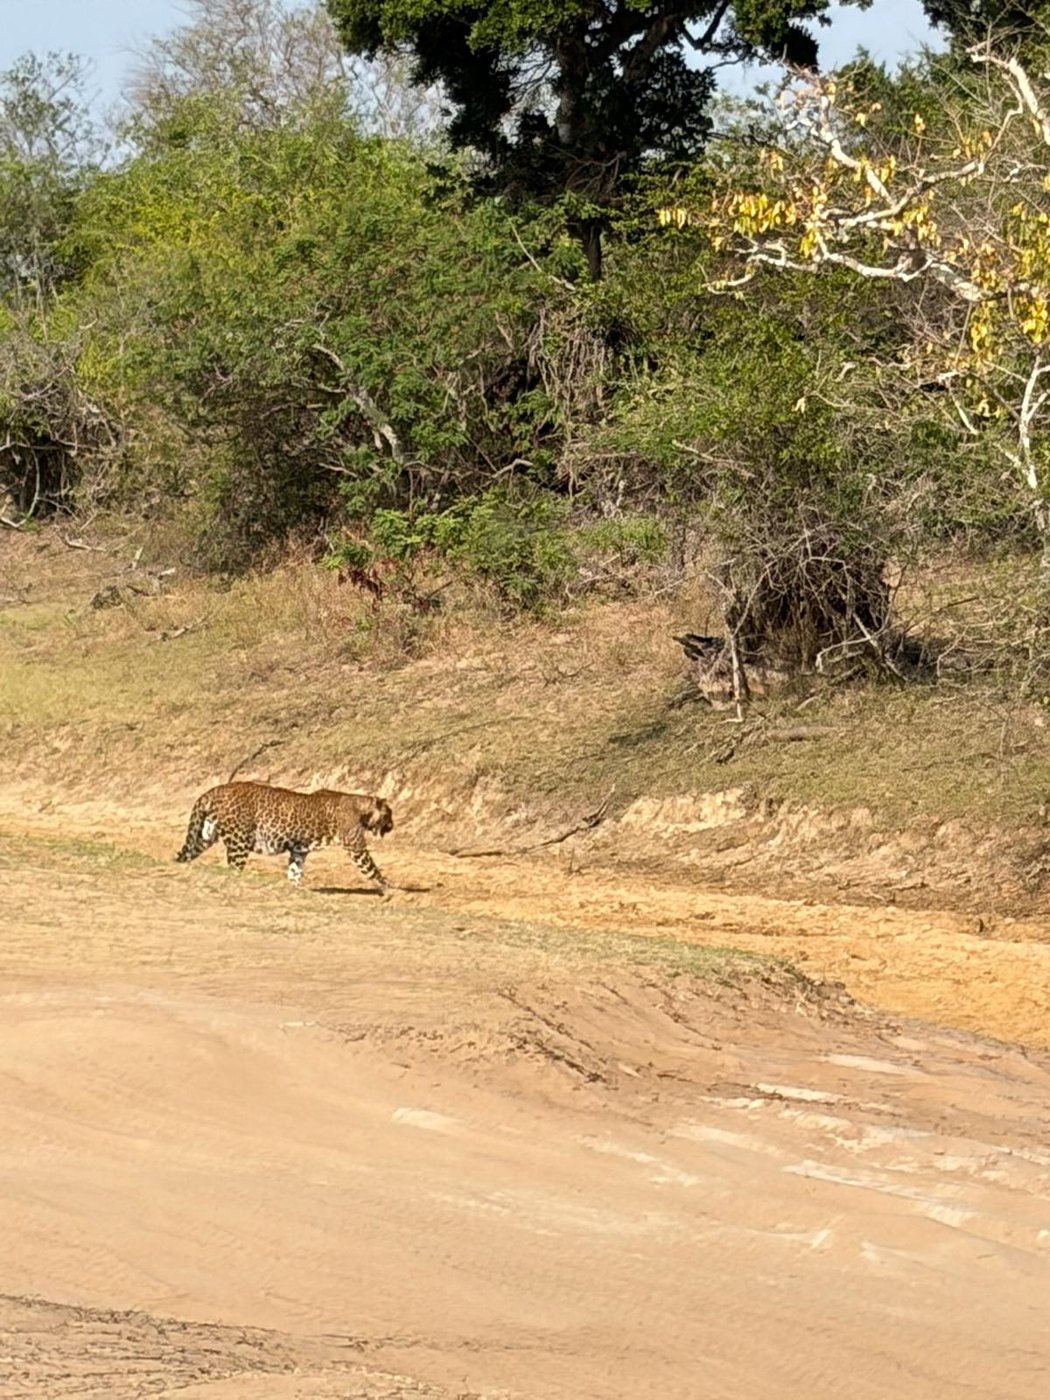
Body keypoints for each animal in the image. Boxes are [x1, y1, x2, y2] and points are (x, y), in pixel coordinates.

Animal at [175, 781, 393, 888]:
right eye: (388, 814)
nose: (392, 826)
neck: (361, 809)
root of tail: (216, 790)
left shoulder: (298, 850)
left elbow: (295, 870)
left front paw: (295, 888)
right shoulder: (356, 846)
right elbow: (371, 869)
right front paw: (390, 888)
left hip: (205, 835)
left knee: (187, 853)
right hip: (240, 842)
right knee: (234, 867)